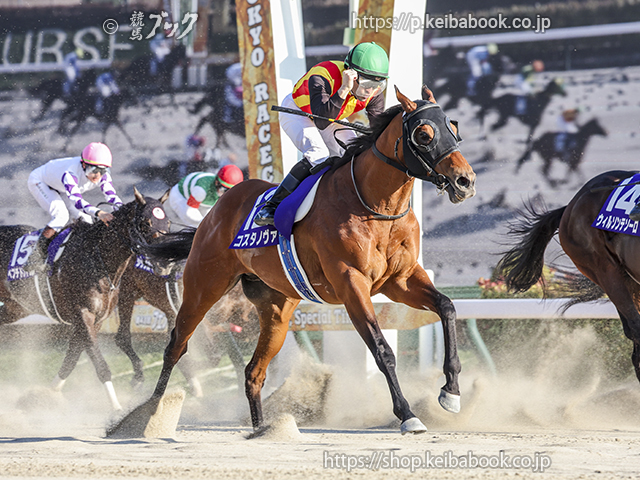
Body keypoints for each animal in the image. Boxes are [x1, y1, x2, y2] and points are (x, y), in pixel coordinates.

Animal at [0, 188, 170, 410]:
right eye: (145, 223)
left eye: (168, 223)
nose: (165, 263)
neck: (98, 259)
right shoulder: (83, 314)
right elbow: (100, 364)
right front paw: (116, 409)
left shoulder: (96, 319)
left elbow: (72, 358)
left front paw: (45, 395)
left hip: (15, 308)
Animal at [110, 85, 477, 436]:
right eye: (424, 134)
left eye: (454, 128)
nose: (466, 181)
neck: (375, 206)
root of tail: (214, 213)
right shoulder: (351, 283)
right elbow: (382, 348)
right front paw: (407, 414)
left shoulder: (400, 280)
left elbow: (447, 308)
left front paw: (451, 393)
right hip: (204, 287)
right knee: (176, 346)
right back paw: (144, 417)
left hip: (276, 309)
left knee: (253, 371)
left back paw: (262, 429)